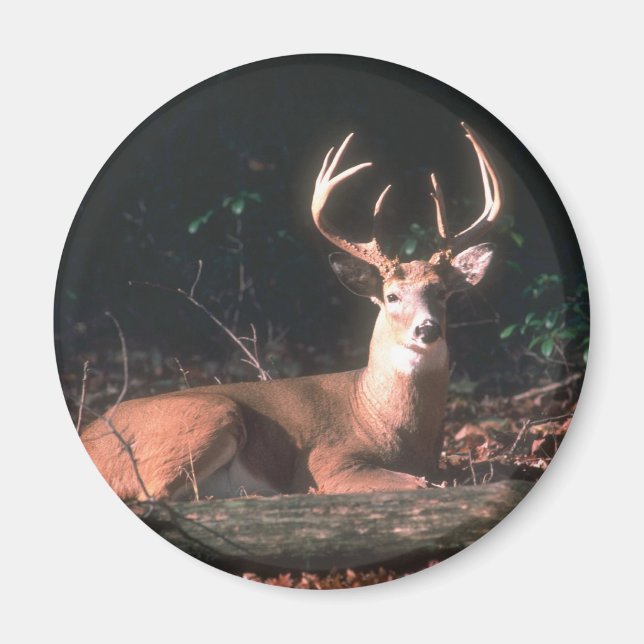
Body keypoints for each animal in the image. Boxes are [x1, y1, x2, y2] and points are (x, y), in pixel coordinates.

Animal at [80, 122, 501, 501]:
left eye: (442, 292)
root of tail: (89, 435)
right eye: (392, 296)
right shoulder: (328, 461)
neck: (380, 416)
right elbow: (422, 484)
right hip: (209, 414)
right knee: (153, 493)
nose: (426, 329)